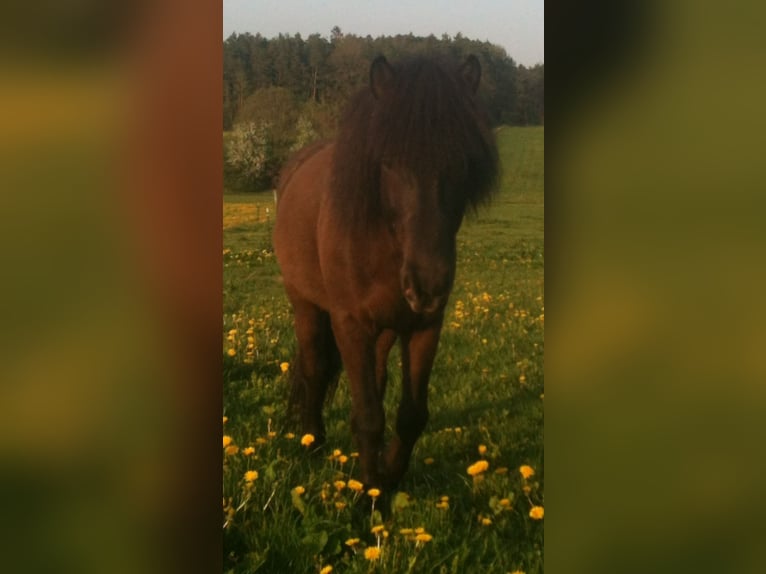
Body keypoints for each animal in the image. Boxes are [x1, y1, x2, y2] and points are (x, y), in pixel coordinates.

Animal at [273, 54, 499, 489]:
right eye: (389, 164)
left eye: (462, 162)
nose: (427, 285)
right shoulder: (348, 323)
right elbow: (369, 417)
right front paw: (370, 496)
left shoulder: (425, 326)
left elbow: (409, 415)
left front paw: (388, 482)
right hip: (305, 305)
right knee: (314, 369)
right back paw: (313, 443)